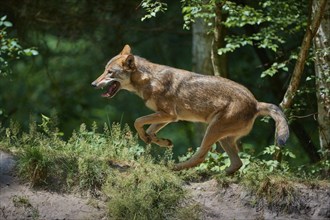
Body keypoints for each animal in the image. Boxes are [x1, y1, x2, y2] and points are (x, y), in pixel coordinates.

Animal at [91, 44, 288, 174]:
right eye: (104, 70)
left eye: (109, 72)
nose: (93, 84)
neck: (149, 80)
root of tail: (256, 102)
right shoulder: (168, 117)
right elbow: (150, 130)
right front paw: (159, 141)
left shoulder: (169, 115)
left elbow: (138, 121)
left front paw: (148, 138)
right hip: (223, 139)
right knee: (236, 164)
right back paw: (220, 176)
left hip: (212, 131)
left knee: (201, 157)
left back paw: (175, 168)